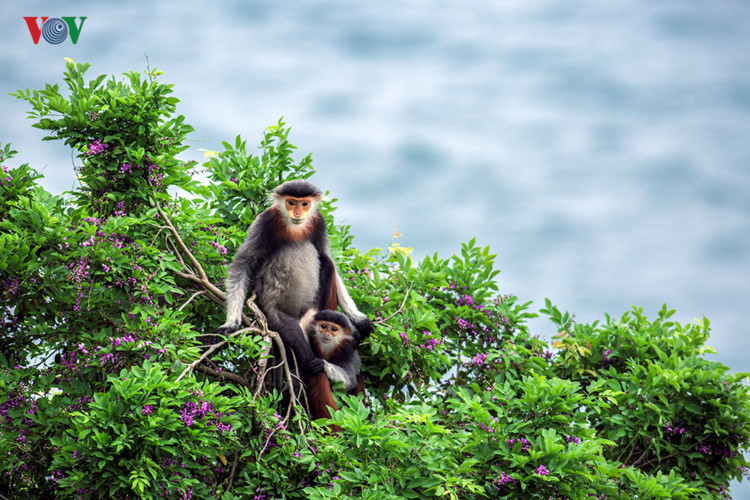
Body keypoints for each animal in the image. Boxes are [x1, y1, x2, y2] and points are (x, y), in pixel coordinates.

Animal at [214, 180, 374, 422]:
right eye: (291, 203)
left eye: (304, 203)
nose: (298, 212)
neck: (295, 228)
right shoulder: (266, 221)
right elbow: (242, 263)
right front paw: (231, 323)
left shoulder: (318, 222)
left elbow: (327, 255)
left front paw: (358, 317)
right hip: (279, 318)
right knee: (308, 361)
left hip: (315, 310)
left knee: (326, 261)